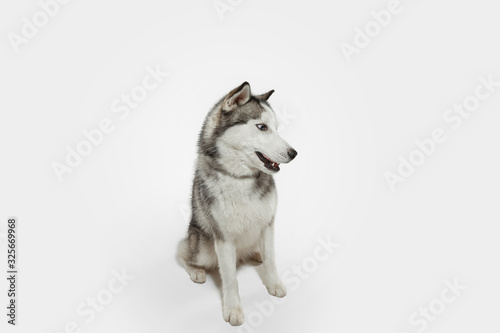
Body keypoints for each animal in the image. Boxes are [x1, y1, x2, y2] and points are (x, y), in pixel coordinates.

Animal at [178, 81, 296, 326]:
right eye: (262, 127)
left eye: (276, 128)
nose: (294, 153)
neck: (241, 179)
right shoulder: (223, 238)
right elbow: (230, 278)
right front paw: (233, 309)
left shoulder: (268, 224)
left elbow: (271, 260)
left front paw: (274, 284)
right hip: (201, 245)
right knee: (182, 252)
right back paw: (196, 271)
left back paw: (256, 254)